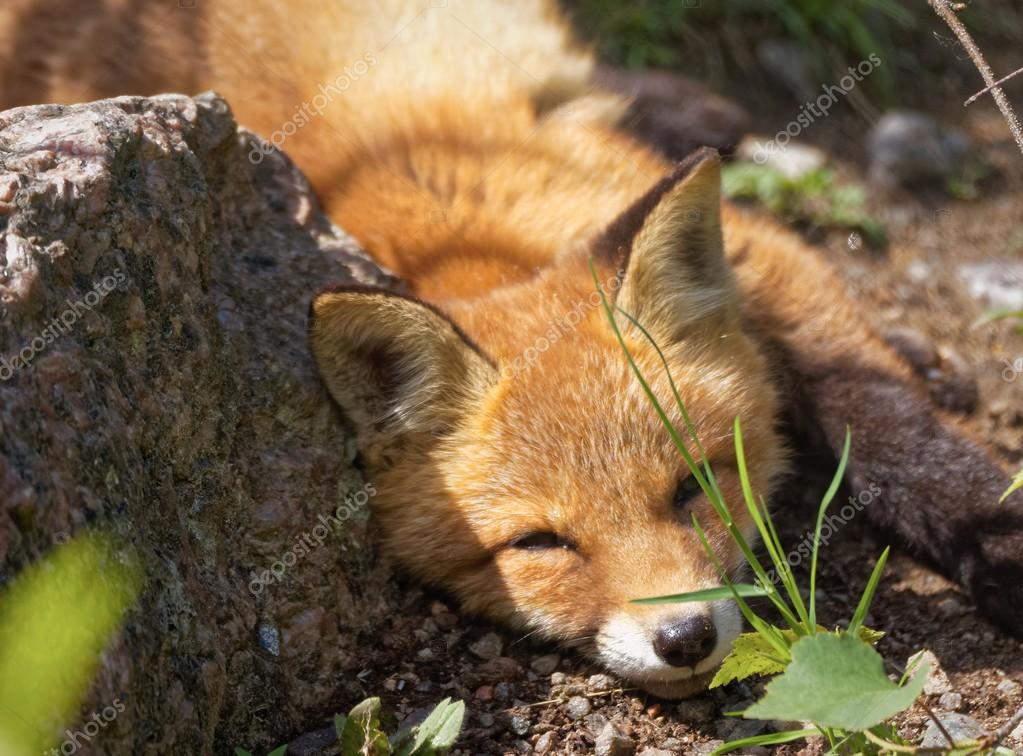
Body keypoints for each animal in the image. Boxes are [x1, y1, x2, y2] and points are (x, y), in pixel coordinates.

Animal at [3, 0, 1018, 699]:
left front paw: (995, 531)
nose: (683, 641)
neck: (480, 234)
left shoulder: (765, 255)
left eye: (692, 485)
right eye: (541, 544)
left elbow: (879, 420)